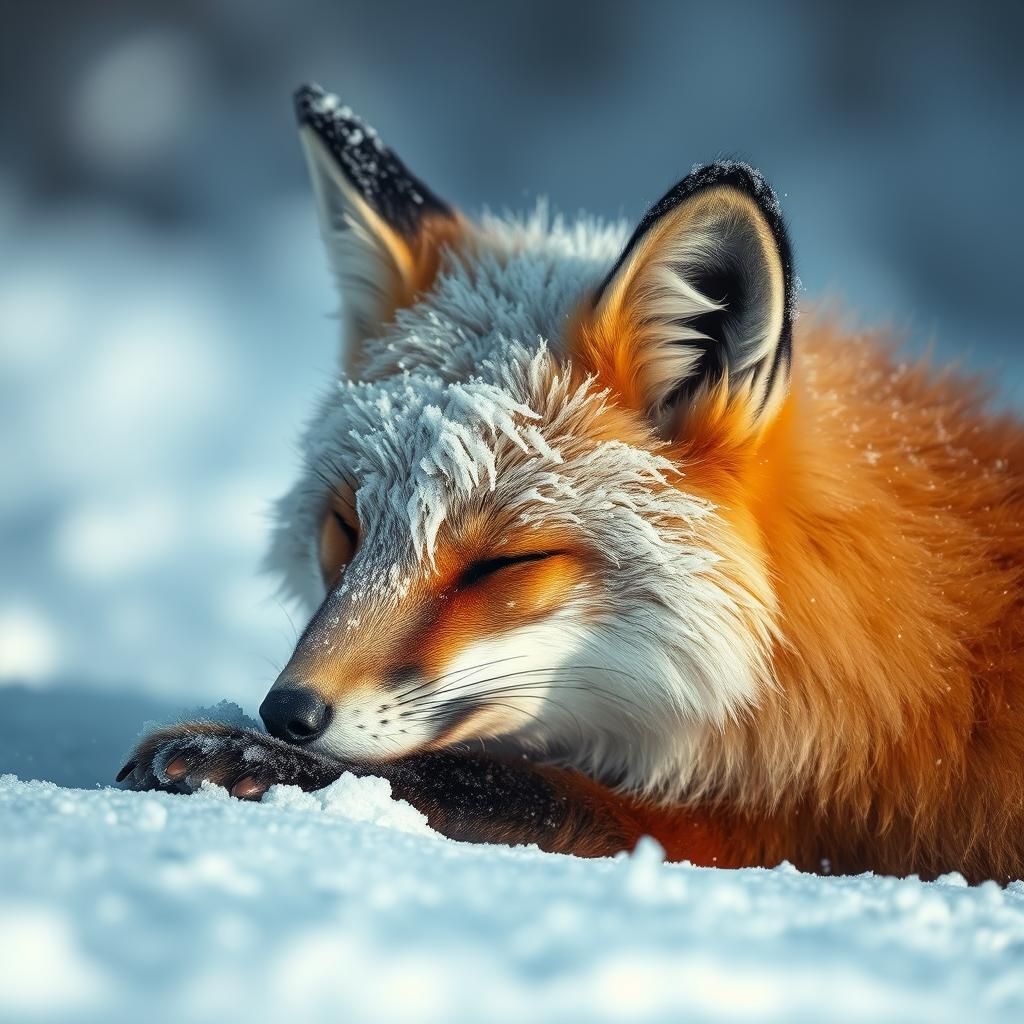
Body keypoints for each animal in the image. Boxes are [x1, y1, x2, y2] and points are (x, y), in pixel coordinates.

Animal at [119, 83, 1024, 883]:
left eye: (504, 564)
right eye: (345, 529)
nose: (288, 714)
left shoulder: (771, 832)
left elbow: (488, 779)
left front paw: (241, 752)